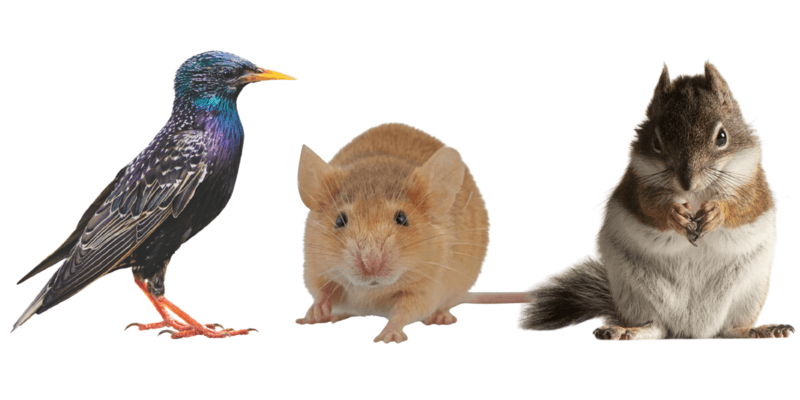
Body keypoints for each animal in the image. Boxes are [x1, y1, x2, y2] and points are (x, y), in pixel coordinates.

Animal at [521, 63, 793, 339]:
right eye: (656, 142)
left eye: (722, 137)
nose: (687, 183)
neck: (695, 195)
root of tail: (692, 331)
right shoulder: (637, 185)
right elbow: (649, 208)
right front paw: (674, 215)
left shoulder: (752, 184)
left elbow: (743, 205)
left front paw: (717, 213)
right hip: (633, 293)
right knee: (654, 327)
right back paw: (623, 330)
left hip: (749, 292)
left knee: (731, 328)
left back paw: (762, 329)